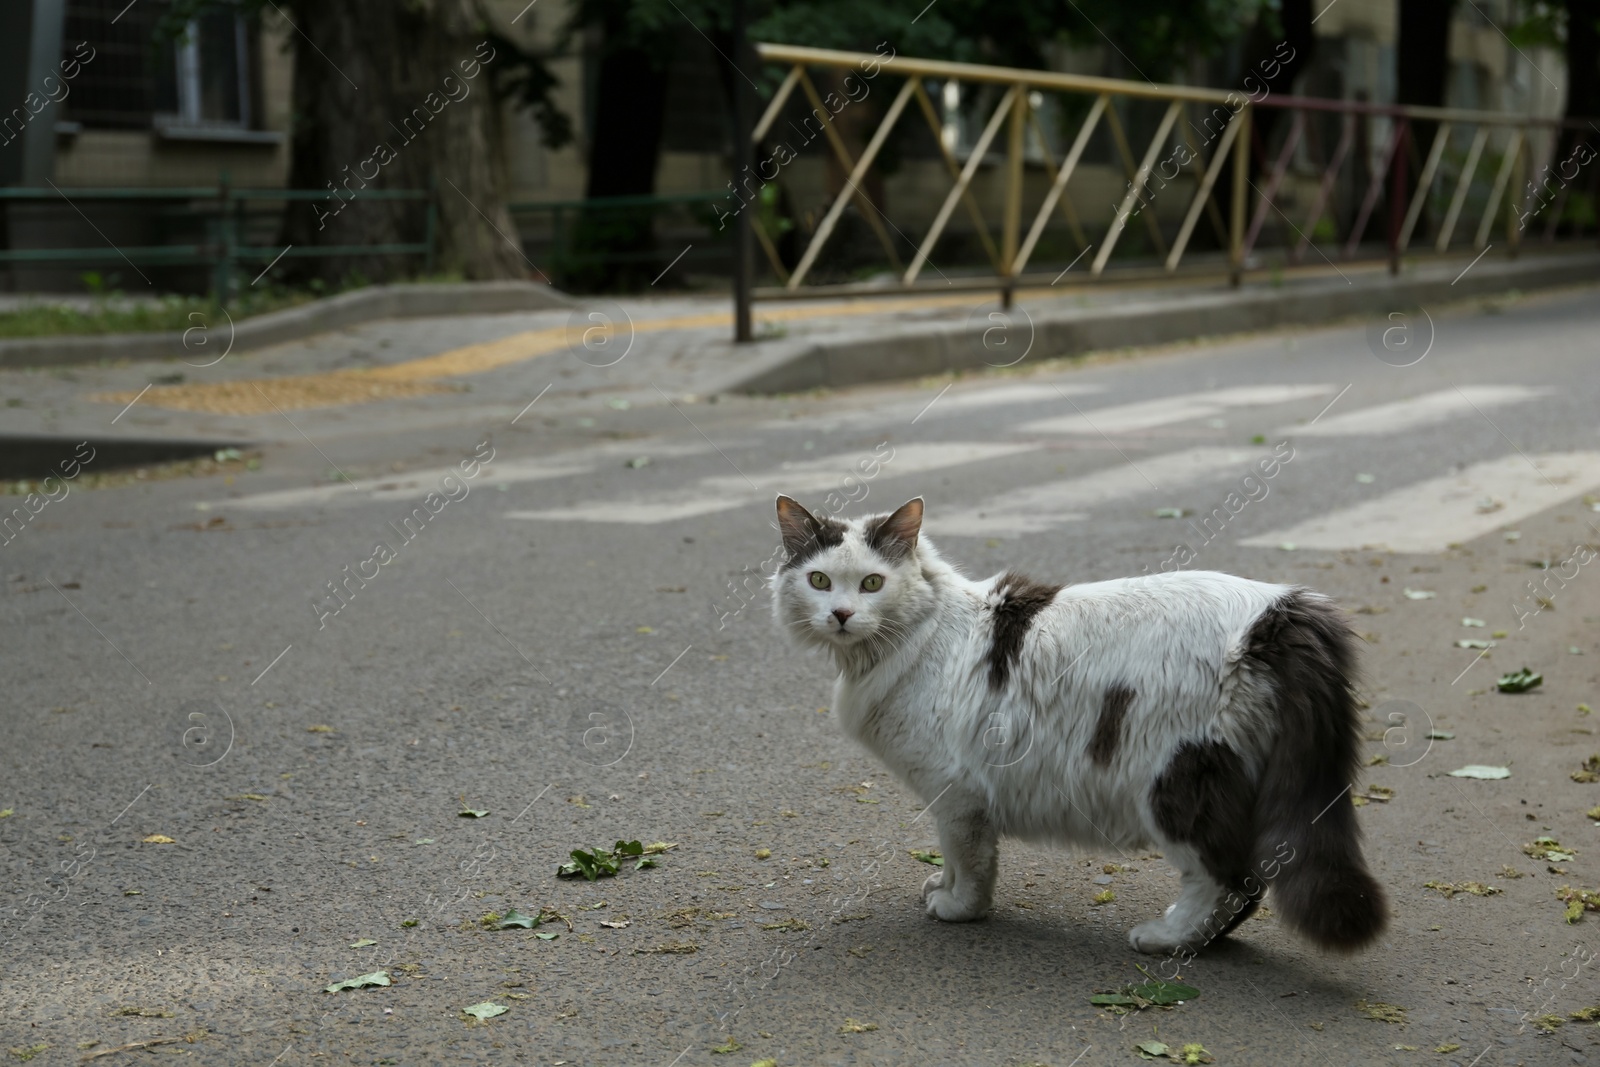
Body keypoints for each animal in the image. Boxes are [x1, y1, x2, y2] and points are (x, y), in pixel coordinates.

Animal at [774, 495, 1388, 953]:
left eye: (872, 584)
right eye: (820, 581)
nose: (842, 615)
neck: (920, 633)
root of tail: (1282, 610)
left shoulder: (957, 793)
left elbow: (969, 861)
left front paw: (958, 908)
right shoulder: (952, 796)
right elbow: (951, 857)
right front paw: (940, 887)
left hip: (1175, 784)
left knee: (1226, 880)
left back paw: (1168, 939)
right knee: (1248, 884)